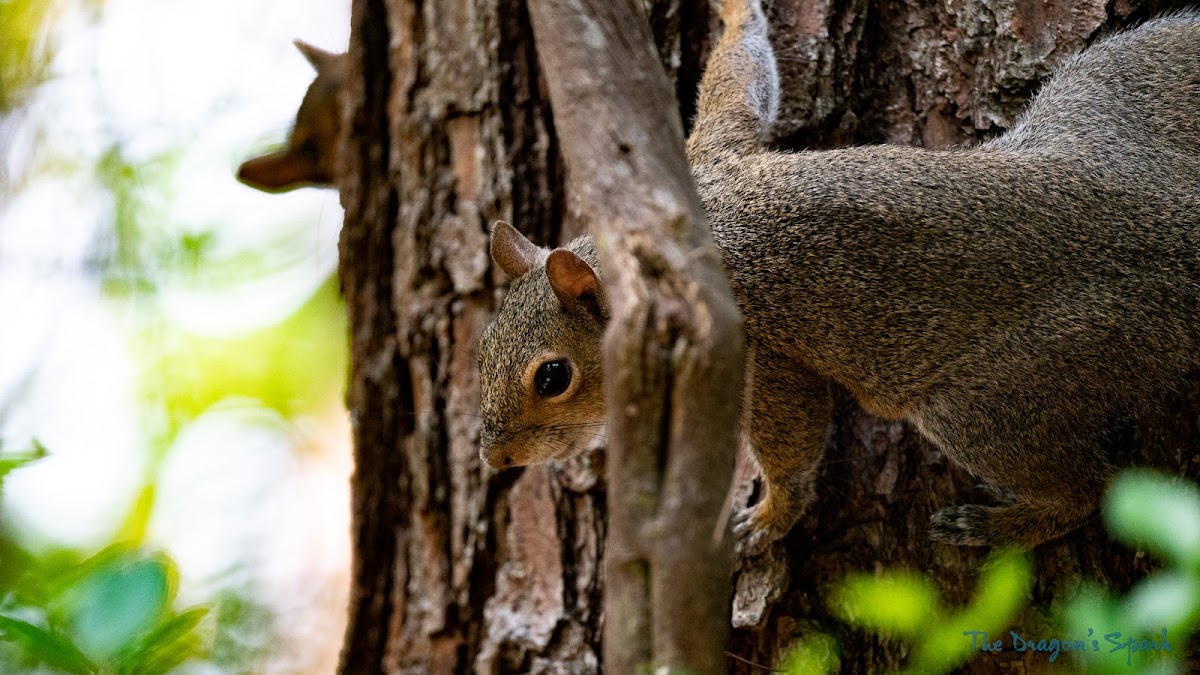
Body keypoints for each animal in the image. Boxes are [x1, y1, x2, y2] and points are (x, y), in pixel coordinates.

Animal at [475, 0, 1200, 554]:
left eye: (553, 377)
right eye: (479, 350)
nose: (495, 459)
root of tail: (1168, 229)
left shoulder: (756, 348)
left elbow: (791, 438)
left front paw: (768, 519)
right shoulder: (711, 151)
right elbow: (743, 79)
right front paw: (734, 10)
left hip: (995, 399)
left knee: (1085, 489)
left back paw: (996, 526)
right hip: (1127, 75)